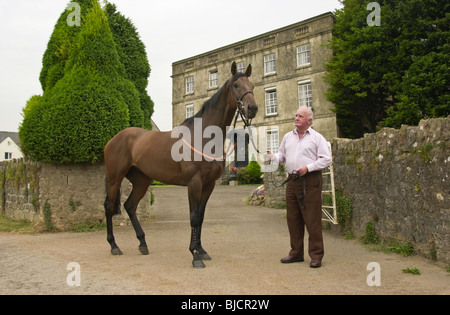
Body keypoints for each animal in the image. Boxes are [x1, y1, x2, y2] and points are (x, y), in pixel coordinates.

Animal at [102, 62, 256, 270]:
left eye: (252, 85)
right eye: (236, 85)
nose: (252, 108)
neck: (203, 136)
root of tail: (113, 139)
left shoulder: (209, 185)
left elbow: (201, 217)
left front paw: (202, 250)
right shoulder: (194, 183)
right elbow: (193, 217)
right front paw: (195, 255)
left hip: (142, 180)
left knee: (130, 205)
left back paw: (143, 243)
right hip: (115, 178)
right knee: (109, 207)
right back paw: (114, 245)